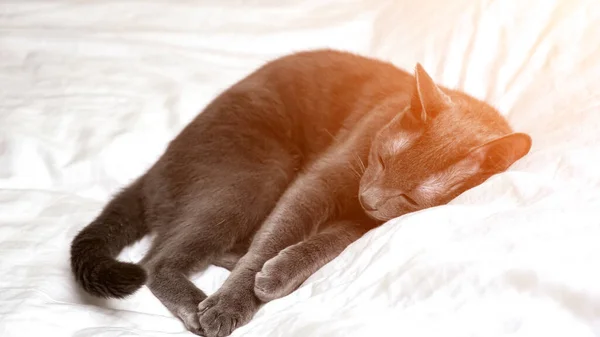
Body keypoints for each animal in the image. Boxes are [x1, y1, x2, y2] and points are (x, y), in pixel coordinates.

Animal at [69, 49, 528, 336]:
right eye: (382, 159)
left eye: (412, 199)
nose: (369, 198)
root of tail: (155, 169)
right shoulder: (323, 178)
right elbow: (278, 233)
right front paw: (232, 302)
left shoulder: (363, 223)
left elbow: (323, 245)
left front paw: (275, 275)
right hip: (258, 174)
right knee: (156, 261)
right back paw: (200, 302)